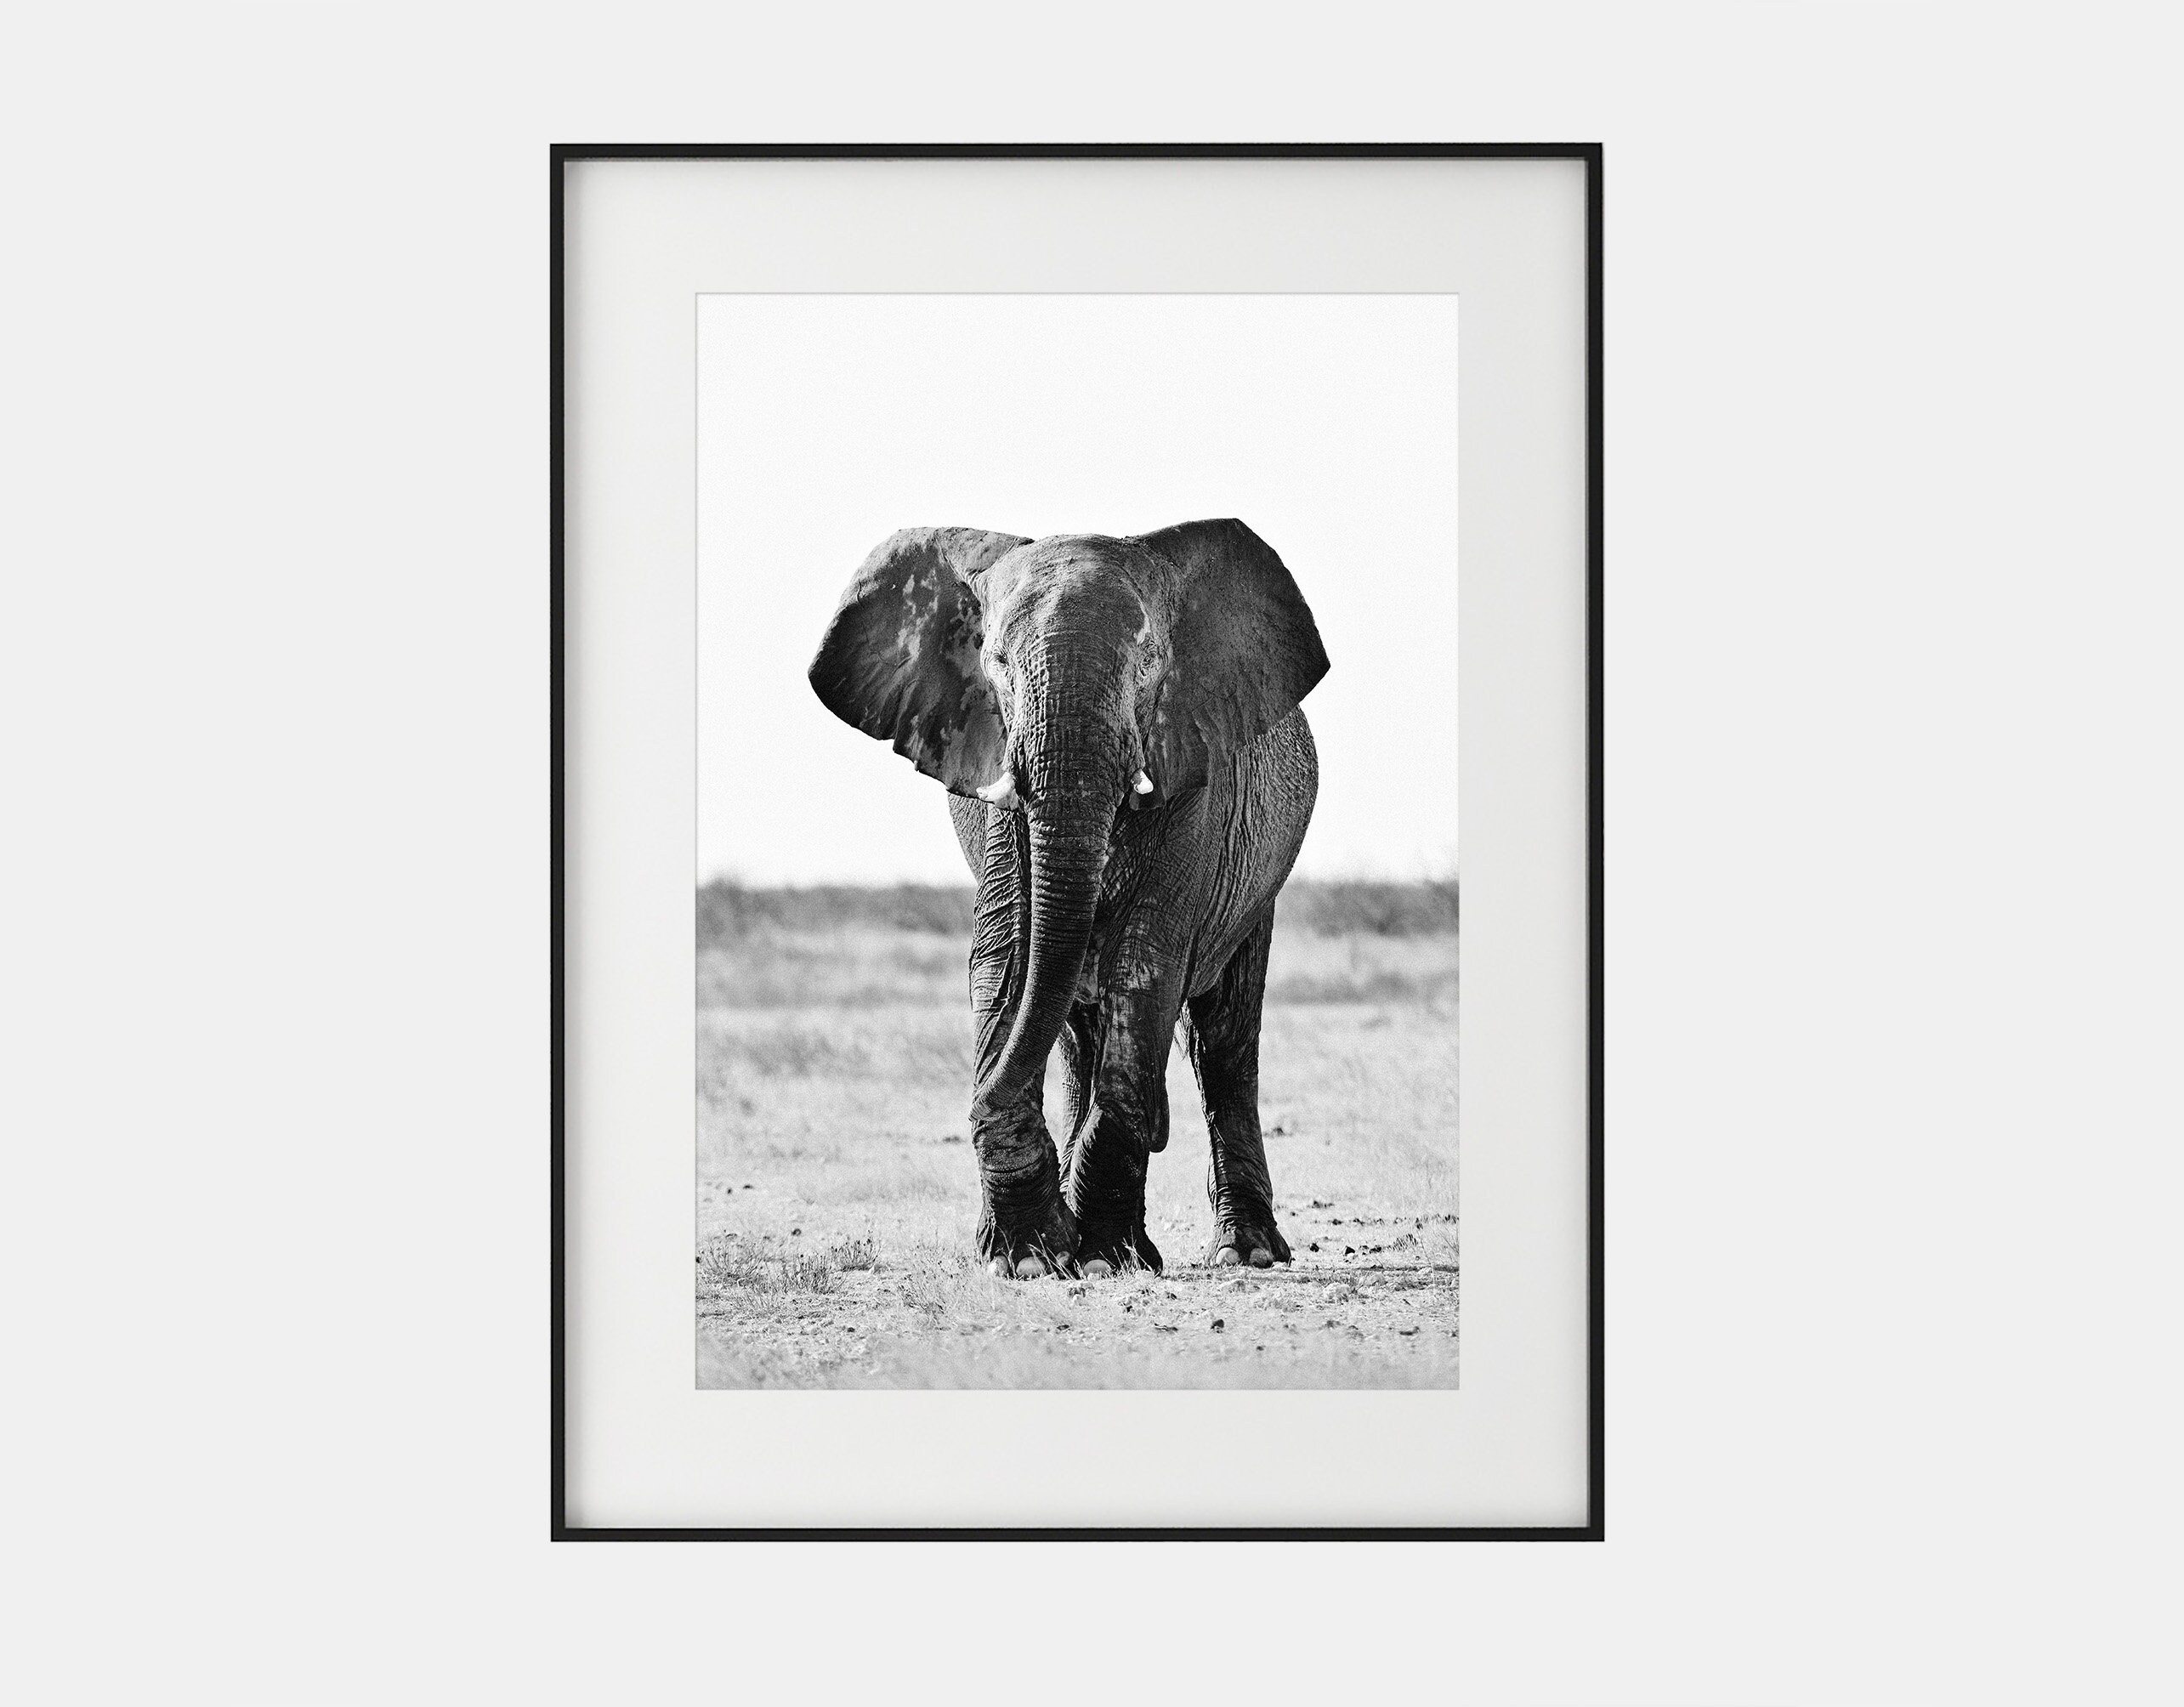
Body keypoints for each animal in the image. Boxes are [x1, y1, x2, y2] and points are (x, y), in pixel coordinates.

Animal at [809, 519, 1328, 1279]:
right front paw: (1027, 1258)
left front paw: (1101, 1258)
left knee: (1222, 1039)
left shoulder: (1193, 777)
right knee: (1076, 1030)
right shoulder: (997, 780)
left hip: (1257, 878)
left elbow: (1144, 970)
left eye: (1148, 660)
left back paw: (1245, 1251)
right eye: (994, 660)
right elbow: (1005, 964)